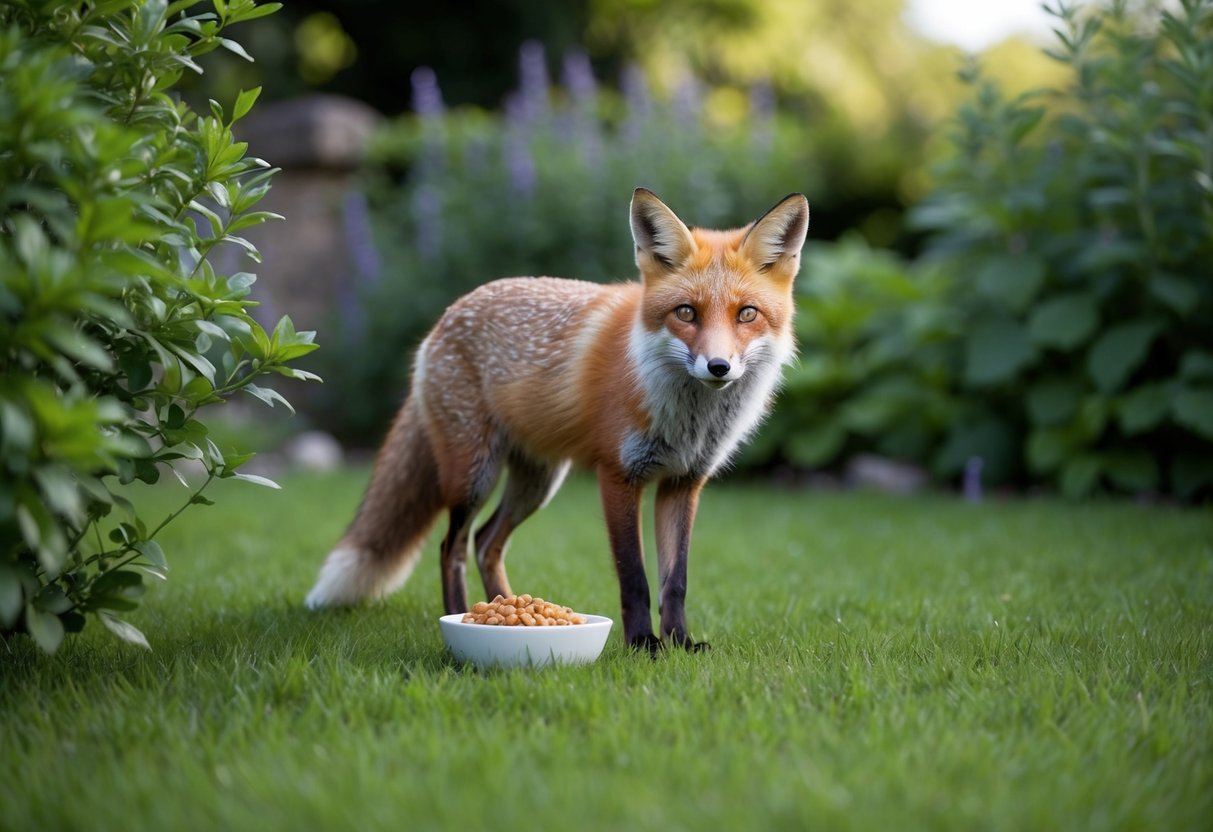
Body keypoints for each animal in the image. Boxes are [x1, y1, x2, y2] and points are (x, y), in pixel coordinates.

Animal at [305, 188, 810, 650]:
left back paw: (504, 609)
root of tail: (444, 319)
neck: (688, 419)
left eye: (747, 314)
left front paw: (680, 643)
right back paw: (459, 616)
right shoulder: (618, 476)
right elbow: (635, 576)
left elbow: (676, 580)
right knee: (453, 547)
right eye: (686, 312)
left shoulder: (683, 483)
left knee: (486, 542)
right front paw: (643, 645)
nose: (718, 367)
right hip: (474, 476)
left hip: (537, 482)